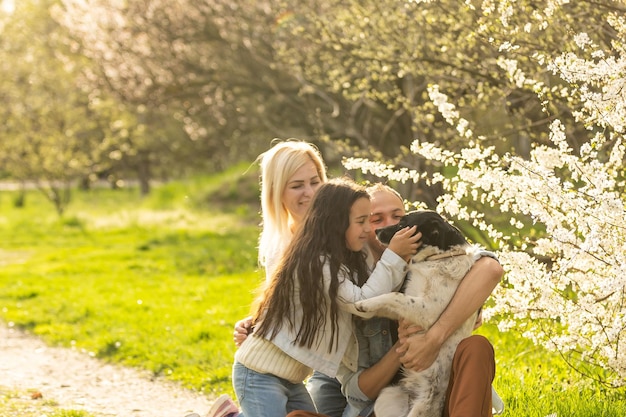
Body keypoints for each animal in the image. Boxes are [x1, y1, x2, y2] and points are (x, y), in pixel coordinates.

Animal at [348, 210, 480, 416]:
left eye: (402, 225)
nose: (376, 231)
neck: (436, 259)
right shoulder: (407, 308)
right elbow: (387, 302)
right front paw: (360, 308)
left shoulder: (427, 311)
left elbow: (394, 295)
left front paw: (363, 304)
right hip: (386, 398)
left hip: (421, 408)